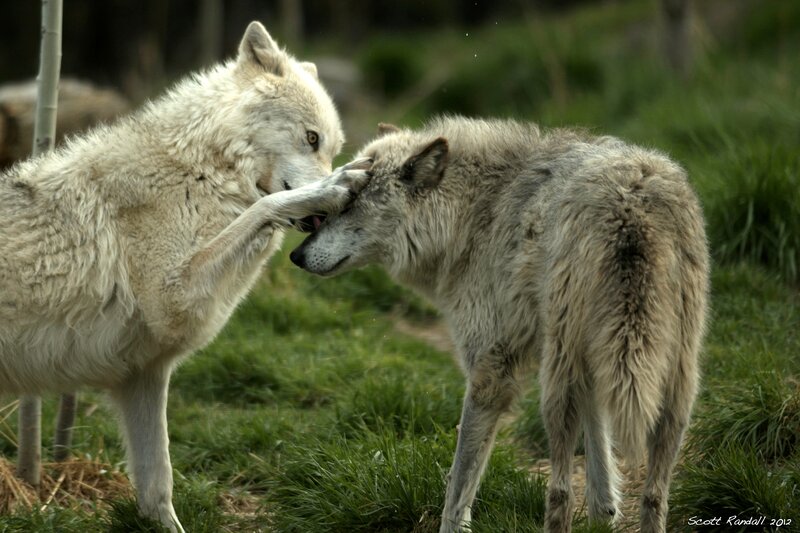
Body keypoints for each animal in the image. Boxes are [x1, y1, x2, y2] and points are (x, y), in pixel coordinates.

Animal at [0, 22, 369, 532]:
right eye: (311, 138)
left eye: (331, 148)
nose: (324, 219)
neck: (201, 169)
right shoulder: (174, 300)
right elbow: (263, 207)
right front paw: (330, 188)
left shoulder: (143, 376)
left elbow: (158, 489)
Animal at [291, 117, 709, 533]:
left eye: (348, 203)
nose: (296, 255)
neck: (473, 213)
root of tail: (631, 199)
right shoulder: (587, 362)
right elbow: (599, 454)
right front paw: (603, 513)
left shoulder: (490, 370)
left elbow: (459, 484)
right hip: (673, 387)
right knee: (654, 495)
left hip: (555, 390)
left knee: (559, 493)